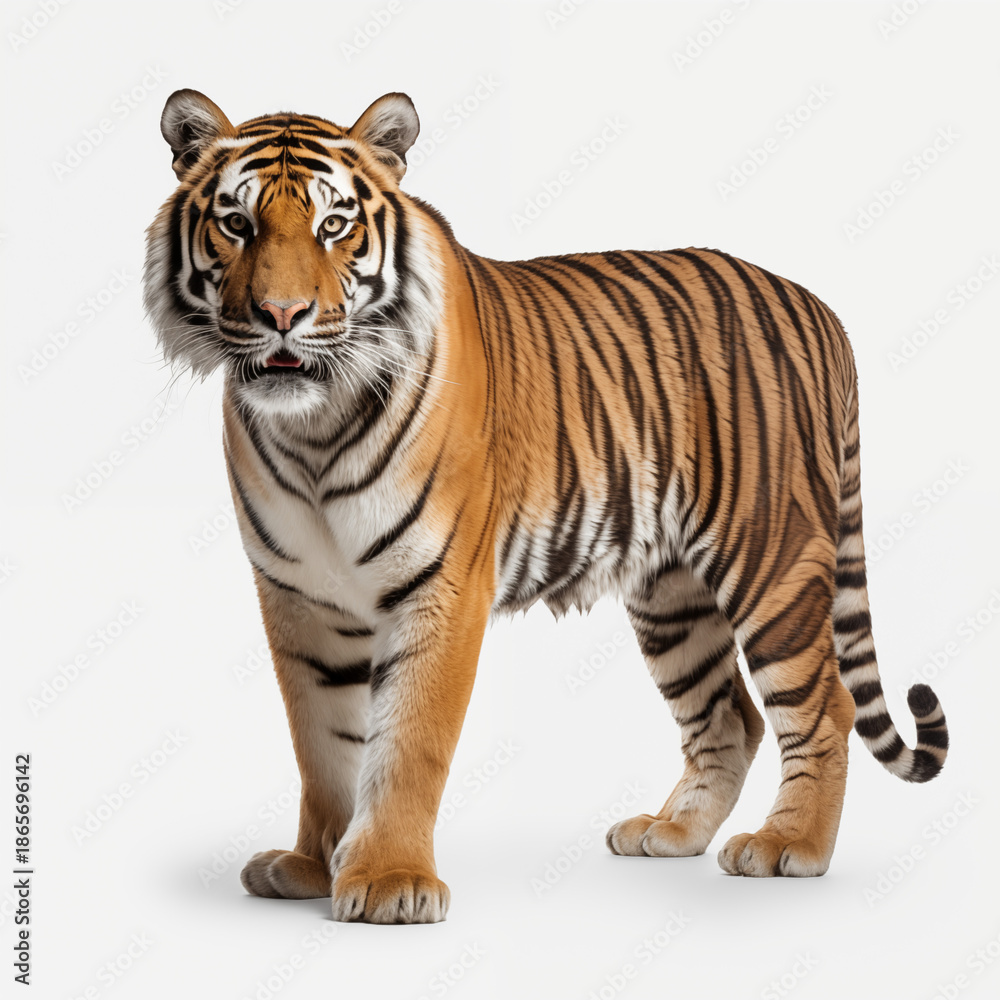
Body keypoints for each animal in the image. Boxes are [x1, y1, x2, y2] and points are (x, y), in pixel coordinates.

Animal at [144, 89, 949, 924]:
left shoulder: (442, 586)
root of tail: (818, 307)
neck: (313, 428)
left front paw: (390, 881)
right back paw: (673, 831)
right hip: (672, 595)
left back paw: (791, 845)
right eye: (236, 224)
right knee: (732, 714)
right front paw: (311, 865)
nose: (282, 314)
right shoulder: (299, 597)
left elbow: (408, 742)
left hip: (772, 559)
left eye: (333, 225)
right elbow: (322, 742)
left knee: (825, 704)